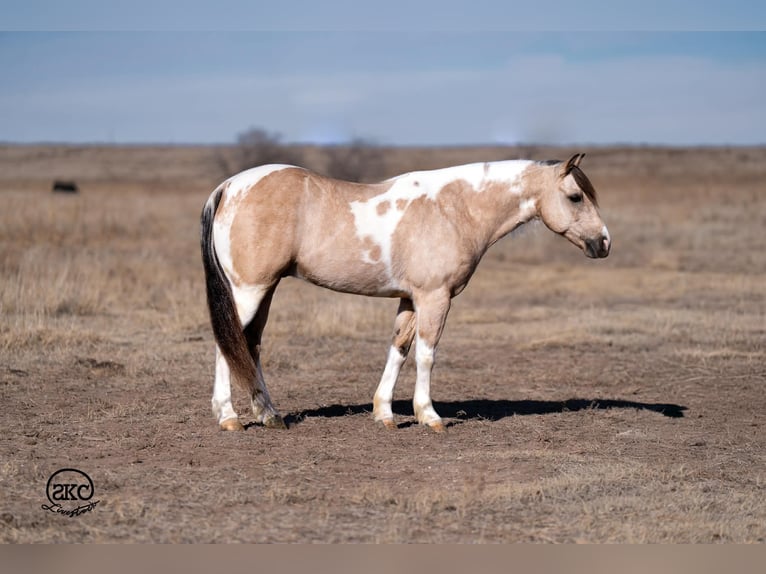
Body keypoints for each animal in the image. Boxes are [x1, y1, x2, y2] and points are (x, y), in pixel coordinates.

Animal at [200, 153, 610, 432]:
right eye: (576, 197)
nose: (604, 243)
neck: (454, 209)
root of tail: (229, 187)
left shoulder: (410, 299)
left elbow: (398, 349)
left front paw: (384, 413)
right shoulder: (435, 297)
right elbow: (427, 355)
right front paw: (429, 415)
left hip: (265, 290)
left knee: (249, 345)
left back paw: (268, 414)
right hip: (248, 291)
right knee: (228, 344)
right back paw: (229, 417)